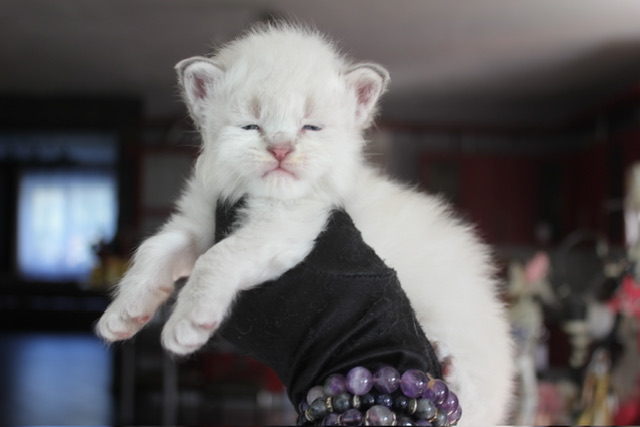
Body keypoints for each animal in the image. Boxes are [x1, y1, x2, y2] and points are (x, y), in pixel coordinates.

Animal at [96, 23, 514, 425]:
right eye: (251, 126)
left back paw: (449, 365)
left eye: (310, 127)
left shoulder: (292, 225)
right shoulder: (198, 221)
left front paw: (188, 322)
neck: (263, 195)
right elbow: (153, 249)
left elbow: (216, 258)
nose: (281, 149)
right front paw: (123, 314)